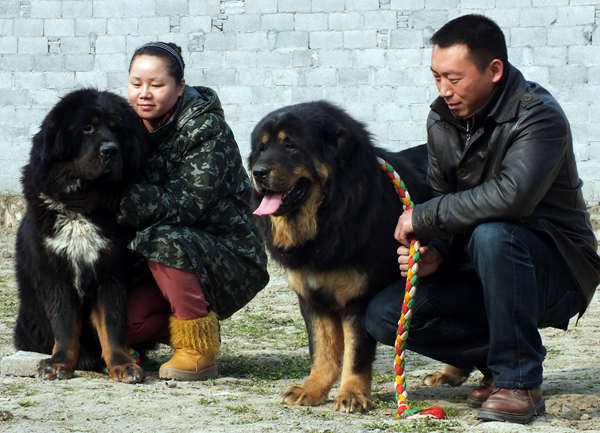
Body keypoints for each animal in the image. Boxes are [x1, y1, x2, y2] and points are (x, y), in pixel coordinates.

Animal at [248, 101, 436, 412]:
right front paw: (312, 388)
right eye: (261, 148)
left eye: (290, 145)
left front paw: (352, 394)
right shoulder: (312, 298)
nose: (258, 172)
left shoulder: (359, 300)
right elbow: (322, 350)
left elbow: (356, 354)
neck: (328, 218)